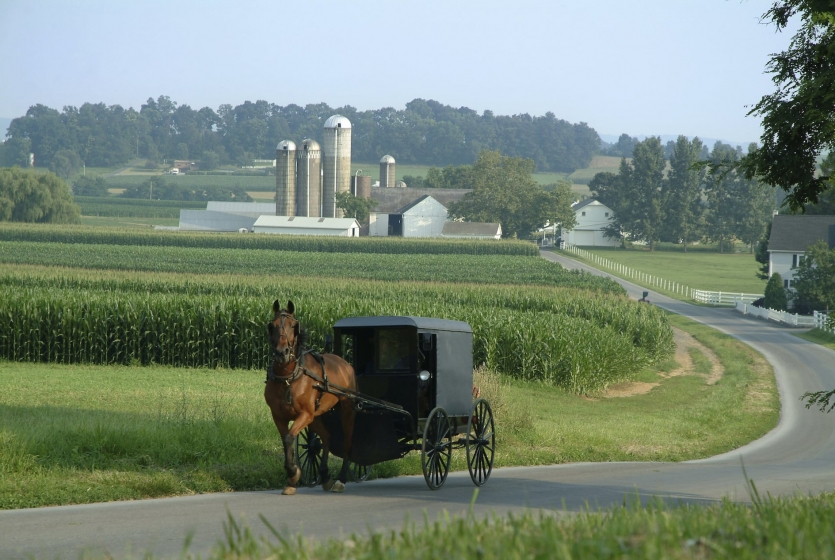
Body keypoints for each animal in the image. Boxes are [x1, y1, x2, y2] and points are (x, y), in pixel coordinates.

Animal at [264, 302, 356, 494]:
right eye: (272, 326)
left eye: (293, 326)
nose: (282, 353)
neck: (289, 377)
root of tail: (345, 364)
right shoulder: (278, 416)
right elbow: (286, 440)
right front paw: (292, 480)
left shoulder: (305, 414)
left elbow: (289, 437)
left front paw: (293, 473)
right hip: (316, 416)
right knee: (327, 437)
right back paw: (325, 475)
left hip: (346, 410)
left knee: (347, 442)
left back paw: (341, 480)